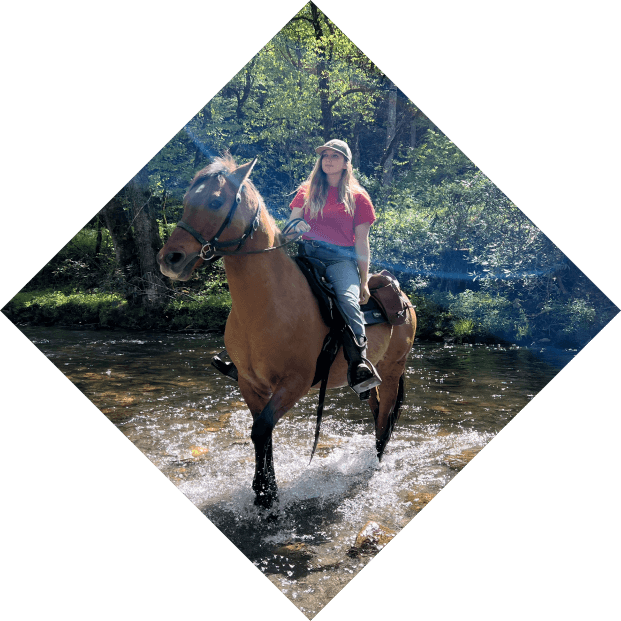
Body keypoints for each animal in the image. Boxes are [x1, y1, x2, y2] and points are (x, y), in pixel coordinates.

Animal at [159, 153, 416, 506]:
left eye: (215, 201)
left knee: (385, 419)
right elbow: (261, 432)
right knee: (376, 409)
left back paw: (375, 464)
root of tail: (402, 297)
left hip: (392, 371)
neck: (269, 304)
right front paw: (266, 490)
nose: (169, 258)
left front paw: (265, 495)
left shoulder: (294, 383)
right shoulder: (251, 383)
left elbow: (261, 429)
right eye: (186, 201)